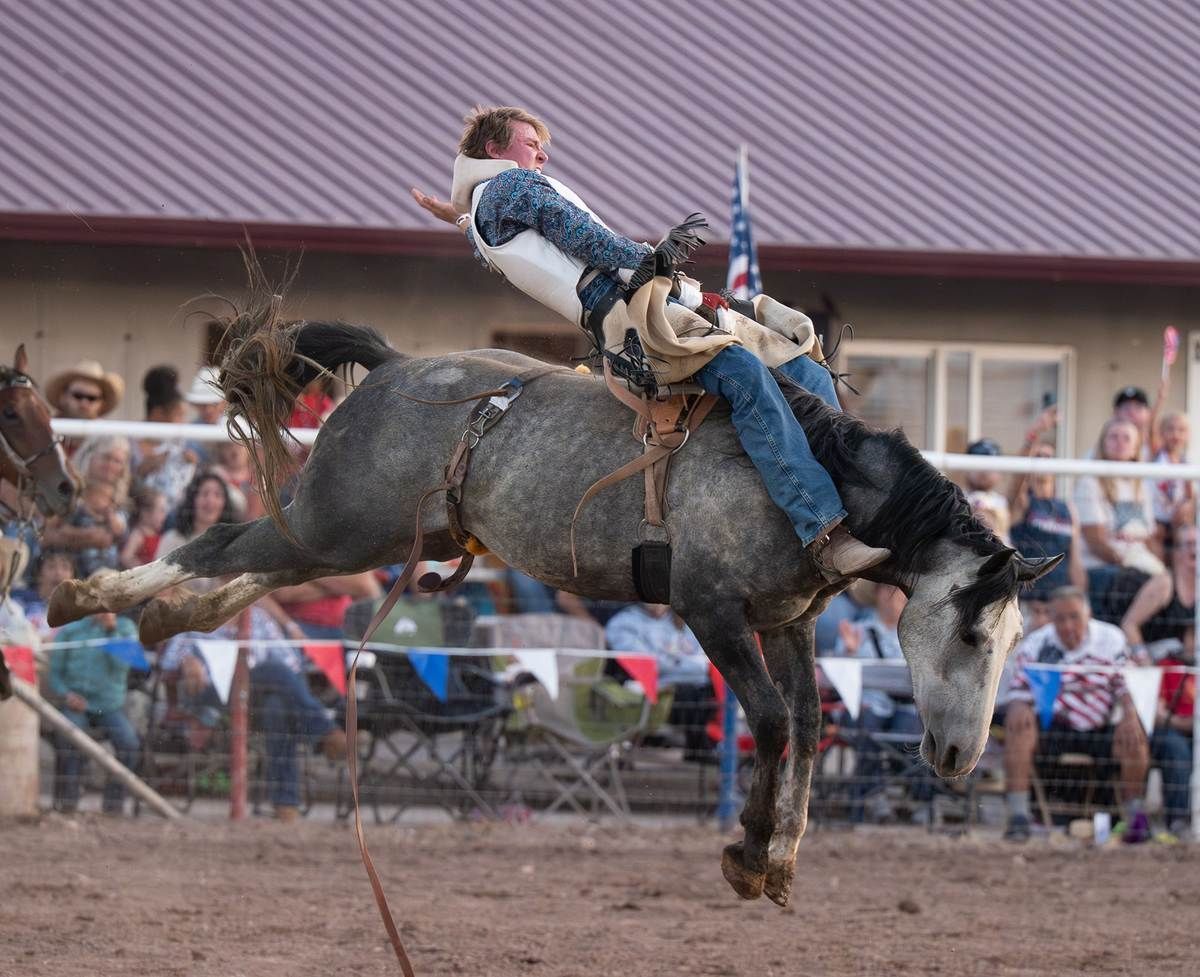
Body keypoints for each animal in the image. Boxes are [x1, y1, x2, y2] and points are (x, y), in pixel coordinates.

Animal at [47, 299, 1060, 904]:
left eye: (1014, 640)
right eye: (975, 629)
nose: (960, 756)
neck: (816, 478)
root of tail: (395, 366)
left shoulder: (792, 623)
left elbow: (809, 726)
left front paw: (779, 858)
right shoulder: (711, 612)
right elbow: (771, 721)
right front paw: (746, 849)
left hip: (373, 537)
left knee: (256, 564)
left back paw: (163, 616)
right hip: (339, 519)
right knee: (220, 539)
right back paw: (87, 592)